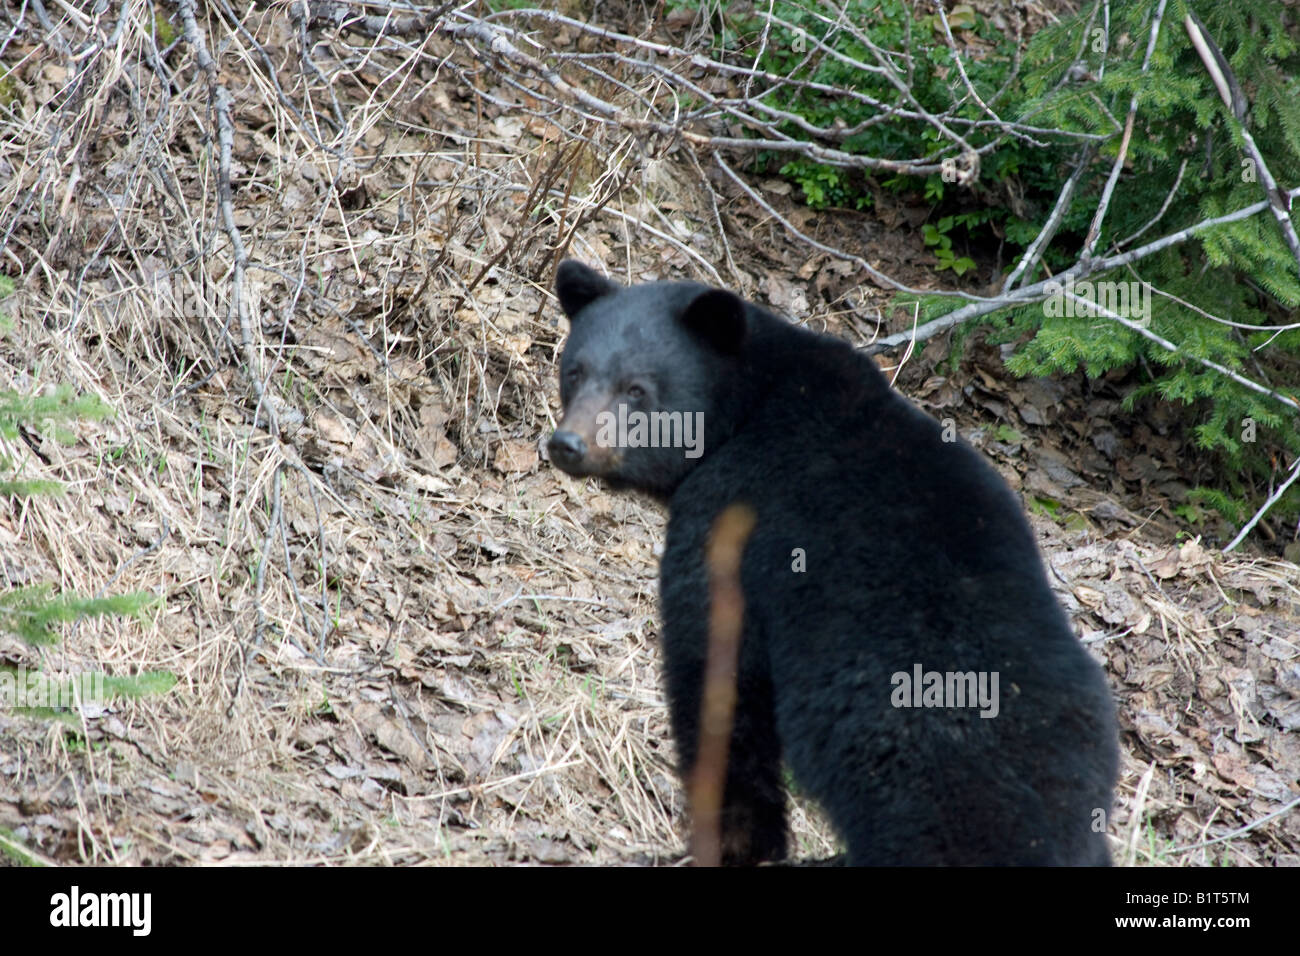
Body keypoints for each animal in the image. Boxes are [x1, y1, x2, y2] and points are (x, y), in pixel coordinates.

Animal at [547, 259, 1119, 866]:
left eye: (637, 389)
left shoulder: (730, 517)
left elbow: (717, 676)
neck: (750, 406)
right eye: (575, 371)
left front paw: (735, 844)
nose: (568, 444)